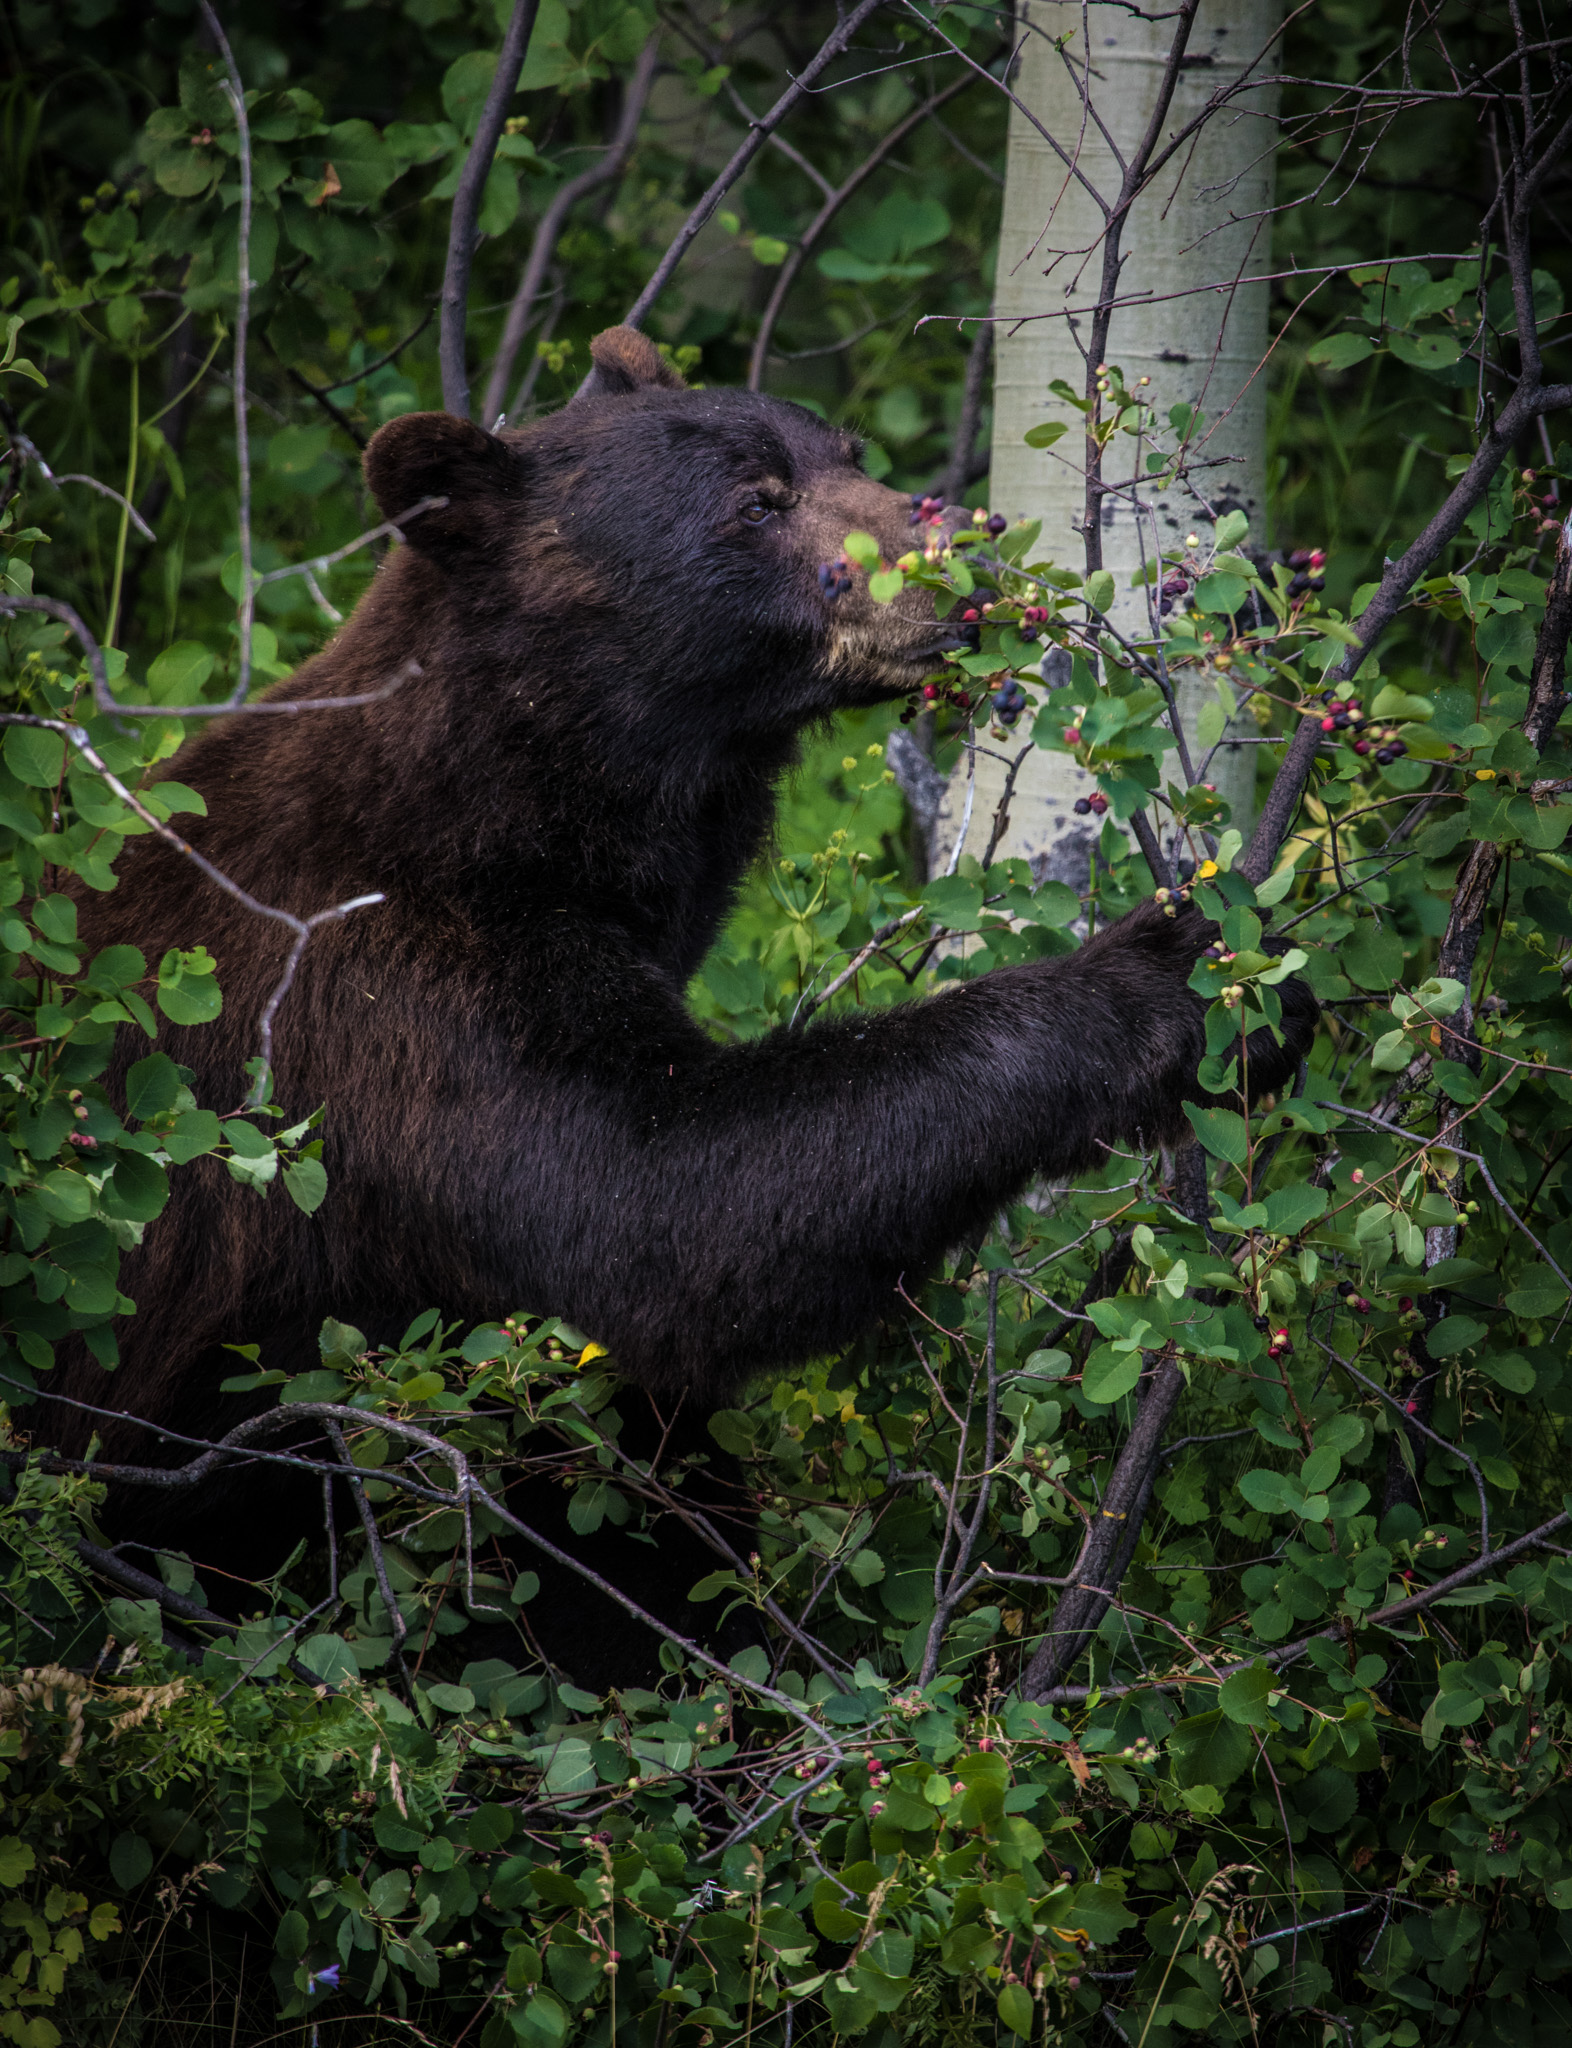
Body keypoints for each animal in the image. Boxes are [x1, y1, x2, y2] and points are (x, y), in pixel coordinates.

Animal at [39, 327, 1310, 1671]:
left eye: (845, 448)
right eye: (754, 503)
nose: (970, 546)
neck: (515, 798)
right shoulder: (387, 996)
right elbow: (656, 1203)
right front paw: (1172, 976)